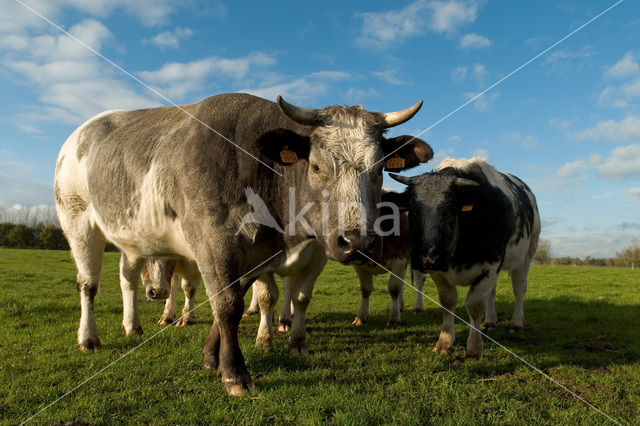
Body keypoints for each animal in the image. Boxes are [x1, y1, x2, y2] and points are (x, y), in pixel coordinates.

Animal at [55, 93, 430, 396]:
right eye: (316, 166)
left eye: (379, 169)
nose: (357, 241)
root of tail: (81, 132)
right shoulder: (211, 239)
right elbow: (228, 305)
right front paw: (235, 374)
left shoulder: (258, 253)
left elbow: (240, 299)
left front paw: (212, 357)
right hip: (77, 218)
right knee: (88, 284)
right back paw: (88, 338)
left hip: (130, 239)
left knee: (128, 280)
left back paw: (132, 325)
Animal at [390, 158, 540, 358]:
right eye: (413, 210)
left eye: (450, 210)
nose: (426, 258)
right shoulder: (439, 270)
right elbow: (448, 302)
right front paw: (445, 342)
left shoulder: (491, 263)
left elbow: (475, 305)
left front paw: (475, 348)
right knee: (492, 293)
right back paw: (490, 321)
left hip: (526, 255)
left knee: (519, 289)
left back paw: (516, 323)